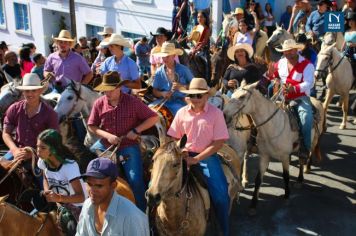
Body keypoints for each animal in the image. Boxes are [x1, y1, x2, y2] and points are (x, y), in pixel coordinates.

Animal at [224, 84, 324, 215]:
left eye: (242, 96)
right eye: (233, 94)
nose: (224, 115)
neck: (272, 126)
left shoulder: (284, 156)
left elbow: (285, 176)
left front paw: (287, 196)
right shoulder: (264, 156)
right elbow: (258, 179)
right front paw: (253, 205)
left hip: (313, 141)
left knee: (305, 158)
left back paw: (301, 177)